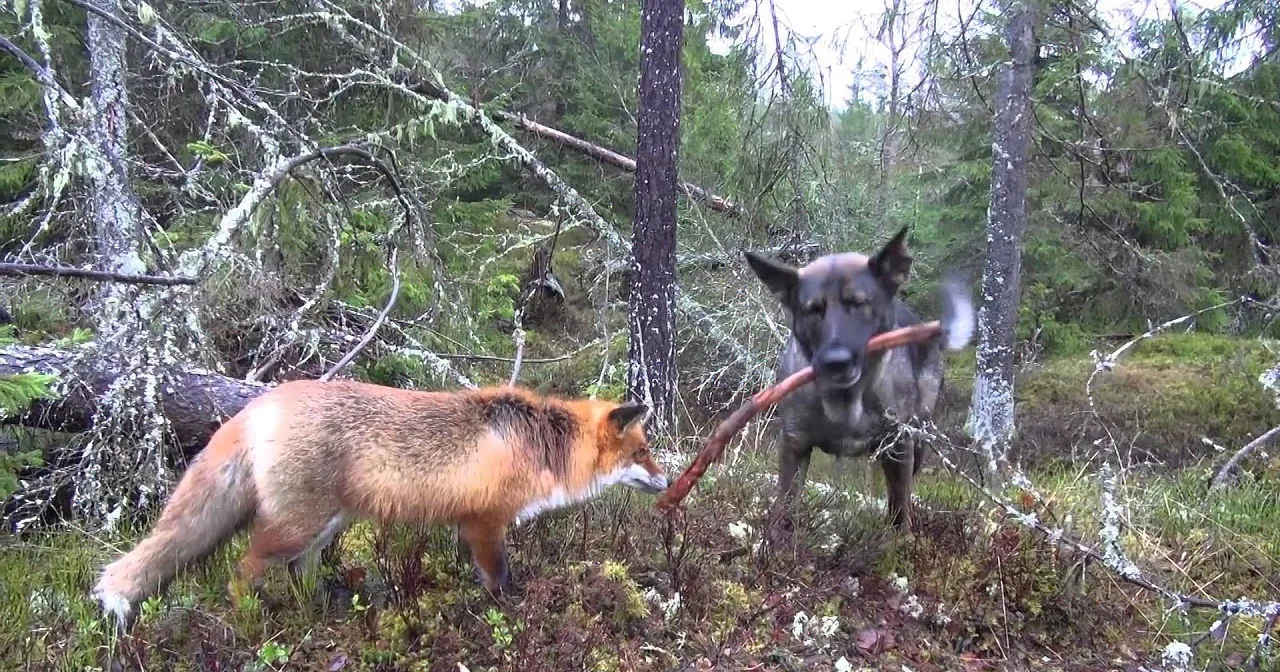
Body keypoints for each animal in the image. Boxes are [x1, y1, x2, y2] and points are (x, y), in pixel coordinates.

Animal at [90, 379, 667, 627]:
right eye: (643, 452)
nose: (668, 482)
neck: (540, 445)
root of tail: (258, 402)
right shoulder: (485, 522)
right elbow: (500, 581)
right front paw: (511, 614)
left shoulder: (471, 524)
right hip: (296, 527)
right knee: (242, 570)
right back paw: (250, 622)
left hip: (323, 526)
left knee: (300, 573)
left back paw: (322, 608)